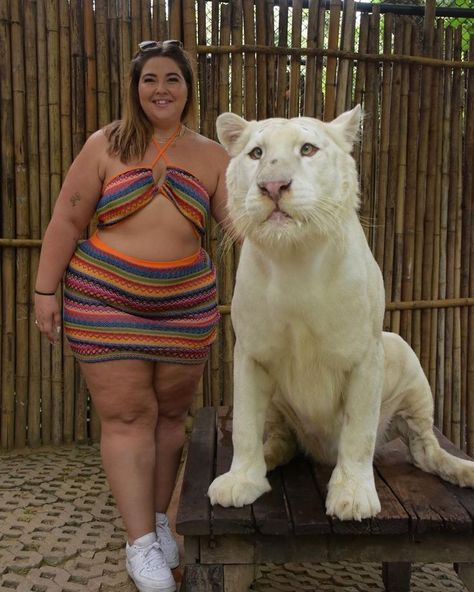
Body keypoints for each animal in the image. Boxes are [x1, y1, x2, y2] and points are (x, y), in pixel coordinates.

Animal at [207, 105, 474, 520]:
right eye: (256, 154)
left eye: (307, 149)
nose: (273, 186)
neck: (294, 260)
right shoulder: (250, 353)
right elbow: (246, 427)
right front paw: (241, 480)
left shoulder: (365, 355)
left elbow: (358, 431)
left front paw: (352, 495)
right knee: (281, 440)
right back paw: (268, 459)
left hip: (404, 359)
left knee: (425, 450)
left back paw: (463, 470)